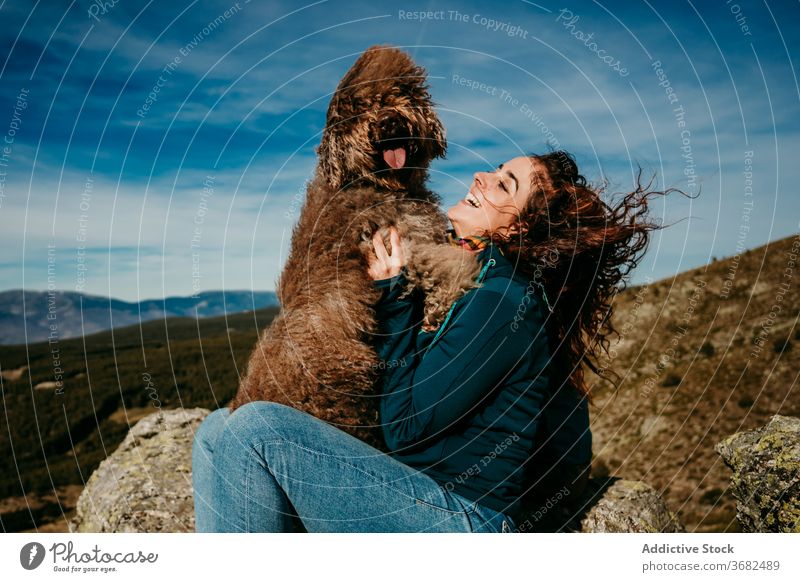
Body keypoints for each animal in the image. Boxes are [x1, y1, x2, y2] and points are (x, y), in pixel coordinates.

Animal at [230, 45, 482, 450]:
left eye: (399, 95)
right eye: (360, 108)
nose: (389, 122)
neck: (376, 183)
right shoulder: (407, 245)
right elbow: (449, 267)